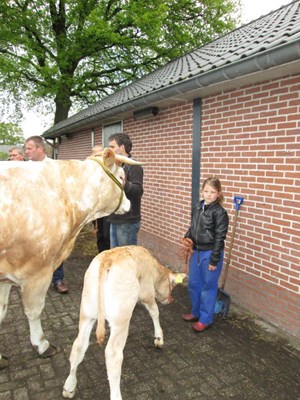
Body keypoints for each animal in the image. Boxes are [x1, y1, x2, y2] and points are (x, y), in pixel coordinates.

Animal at [0, 149, 139, 368]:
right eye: (122, 177)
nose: (129, 203)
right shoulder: (37, 271)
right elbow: (34, 311)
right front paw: (42, 345)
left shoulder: (6, 276)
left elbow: (1, 312)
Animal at [63, 245, 185, 400]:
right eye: (172, 286)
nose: (171, 300)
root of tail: (107, 260)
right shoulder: (147, 293)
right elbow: (155, 312)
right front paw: (159, 338)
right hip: (119, 319)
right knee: (113, 355)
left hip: (87, 313)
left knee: (78, 346)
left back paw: (69, 386)